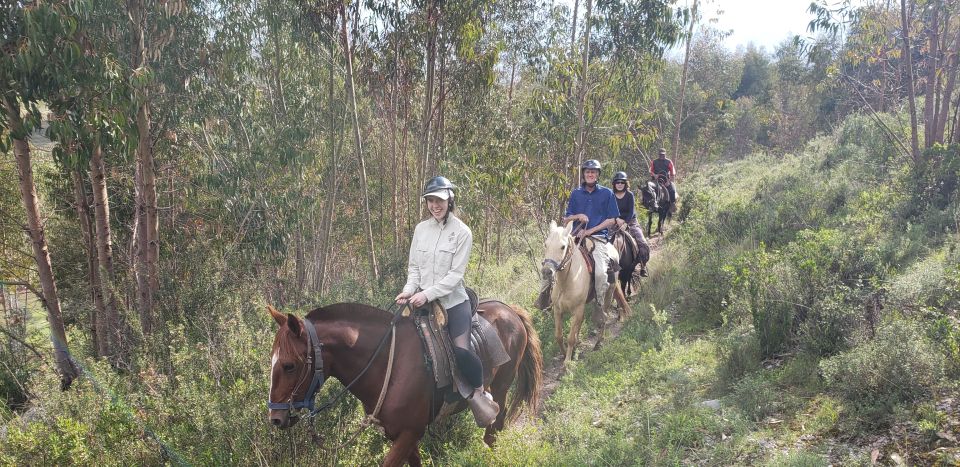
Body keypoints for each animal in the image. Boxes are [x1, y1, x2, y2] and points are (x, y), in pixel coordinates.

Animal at [266, 302, 544, 466]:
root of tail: (509, 310)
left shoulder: (411, 432)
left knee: (495, 426)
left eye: (289, 365)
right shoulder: (399, 433)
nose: (276, 419)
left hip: (502, 387)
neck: (387, 365)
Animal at [532, 221, 632, 368]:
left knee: (604, 316)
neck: (566, 282)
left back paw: (598, 343)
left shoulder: (577, 310)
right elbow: (559, 335)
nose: (546, 272)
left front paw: (567, 362)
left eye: (563, 247)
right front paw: (565, 354)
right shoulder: (558, 310)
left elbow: (570, 338)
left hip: (608, 294)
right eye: (546, 244)